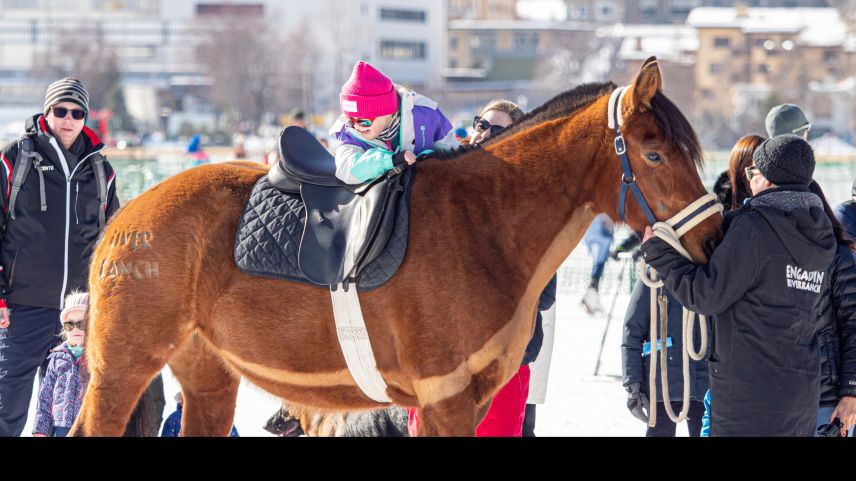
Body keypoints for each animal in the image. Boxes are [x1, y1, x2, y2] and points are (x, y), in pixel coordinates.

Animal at [70, 57, 720, 436]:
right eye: (655, 154)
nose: (713, 237)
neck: (483, 226)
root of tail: (127, 212)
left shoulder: (470, 401)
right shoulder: (443, 398)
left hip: (207, 375)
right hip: (121, 368)